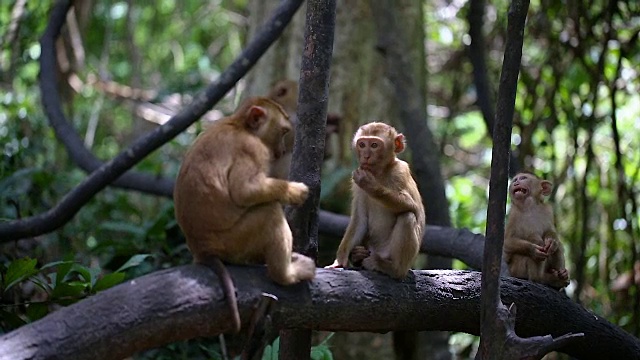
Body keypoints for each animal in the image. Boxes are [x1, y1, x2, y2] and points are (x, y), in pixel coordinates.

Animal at [174, 97, 316, 334]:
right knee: (269, 212)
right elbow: (245, 191)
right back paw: (285, 274)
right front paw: (296, 192)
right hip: (235, 242)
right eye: (283, 132)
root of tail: (202, 250)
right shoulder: (252, 149)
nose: (281, 150)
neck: (240, 125)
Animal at [324, 122, 424, 280]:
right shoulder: (356, 186)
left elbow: (411, 205)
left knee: (407, 216)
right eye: (362, 144)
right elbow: (360, 219)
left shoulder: (400, 171)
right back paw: (357, 256)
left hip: (390, 253)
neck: (379, 173)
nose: (366, 156)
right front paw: (340, 260)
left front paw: (370, 184)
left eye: (375, 145)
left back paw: (393, 269)